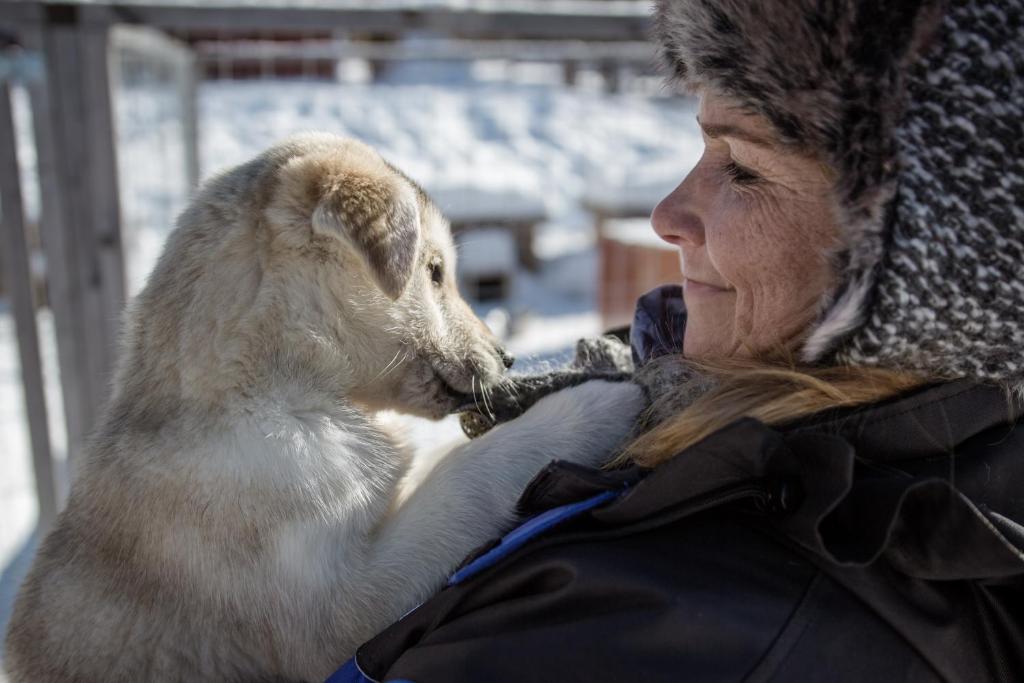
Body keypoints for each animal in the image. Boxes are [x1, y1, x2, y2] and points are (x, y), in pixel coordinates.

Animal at [4, 135, 638, 683]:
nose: (506, 358)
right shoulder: (342, 608)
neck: (276, 392)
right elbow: (468, 478)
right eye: (434, 273)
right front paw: (601, 399)